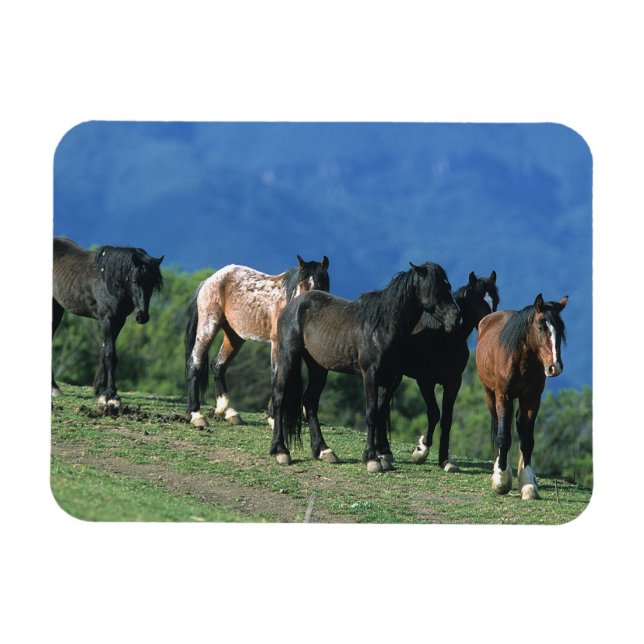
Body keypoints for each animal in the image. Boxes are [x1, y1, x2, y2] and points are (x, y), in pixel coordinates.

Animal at [52, 236, 164, 406]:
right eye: (135, 281)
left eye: (152, 284)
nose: (142, 316)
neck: (109, 280)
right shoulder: (108, 319)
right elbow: (110, 355)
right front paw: (111, 395)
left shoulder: (119, 320)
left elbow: (104, 350)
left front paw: (100, 391)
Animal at [185, 256, 330, 428]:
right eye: (301, 284)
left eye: (320, 286)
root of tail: (209, 280)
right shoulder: (277, 345)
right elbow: (277, 377)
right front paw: (274, 418)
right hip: (208, 326)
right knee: (195, 362)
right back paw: (196, 415)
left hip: (234, 336)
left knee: (218, 365)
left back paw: (228, 412)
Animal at [270, 262, 462, 473]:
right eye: (435, 288)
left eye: (448, 286)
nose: (456, 318)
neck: (383, 327)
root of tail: (293, 305)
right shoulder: (371, 374)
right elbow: (371, 413)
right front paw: (372, 458)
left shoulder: (389, 377)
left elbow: (379, 412)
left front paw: (381, 456)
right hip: (288, 357)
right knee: (279, 398)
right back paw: (281, 451)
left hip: (318, 367)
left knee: (310, 401)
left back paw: (323, 450)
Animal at [408, 271, 500, 471]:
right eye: (476, 302)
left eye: (495, 301)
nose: (491, 325)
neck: (443, 337)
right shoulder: (425, 381)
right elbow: (434, 413)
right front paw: (422, 449)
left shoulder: (453, 382)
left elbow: (447, 419)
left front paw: (445, 460)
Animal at [475, 293, 568, 499]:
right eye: (541, 327)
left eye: (561, 329)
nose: (555, 367)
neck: (522, 362)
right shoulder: (503, 396)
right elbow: (503, 436)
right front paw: (501, 480)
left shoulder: (532, 399)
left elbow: (527, 441)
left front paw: (528, 484)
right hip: (490, 395)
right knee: (498, 424)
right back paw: (500, 468)